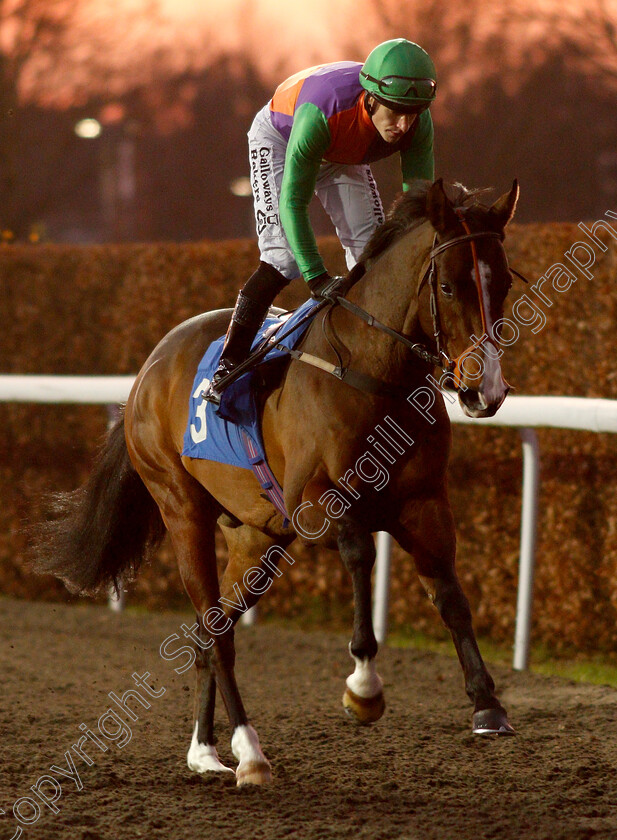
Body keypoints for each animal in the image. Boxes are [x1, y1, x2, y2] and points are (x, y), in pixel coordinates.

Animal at [33, 179, 520, 788]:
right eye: (450, 286)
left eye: (503, 283)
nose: (486, 391)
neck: (373, 372)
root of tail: (148, 369)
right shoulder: (316, 502)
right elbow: (361, 555)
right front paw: (363, 686)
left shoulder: (425, 502)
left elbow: (451, 594)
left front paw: (487, 705)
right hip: (181, 508)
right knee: (214, 631)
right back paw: (249, 751)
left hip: (256, 536)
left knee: (211, 631)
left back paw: (206, 751)